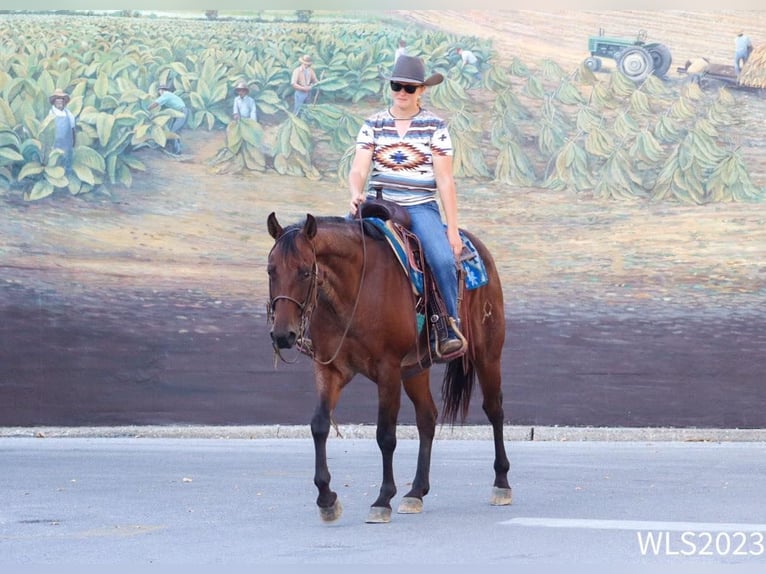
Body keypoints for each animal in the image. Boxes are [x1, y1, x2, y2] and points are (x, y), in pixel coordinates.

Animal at [268, 213, 512, 528]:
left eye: (305, 272)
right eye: (271, 270)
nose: (283, 335)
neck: (355, 290)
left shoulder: (388, 370)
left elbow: (385, 435)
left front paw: (382, 500)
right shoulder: (329, 367)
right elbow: (320, 425)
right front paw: (327, 499)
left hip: (487, 354)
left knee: (494, 410)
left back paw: (501, 483)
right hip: (416, 369)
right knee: (427, 418)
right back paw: (416, 492)